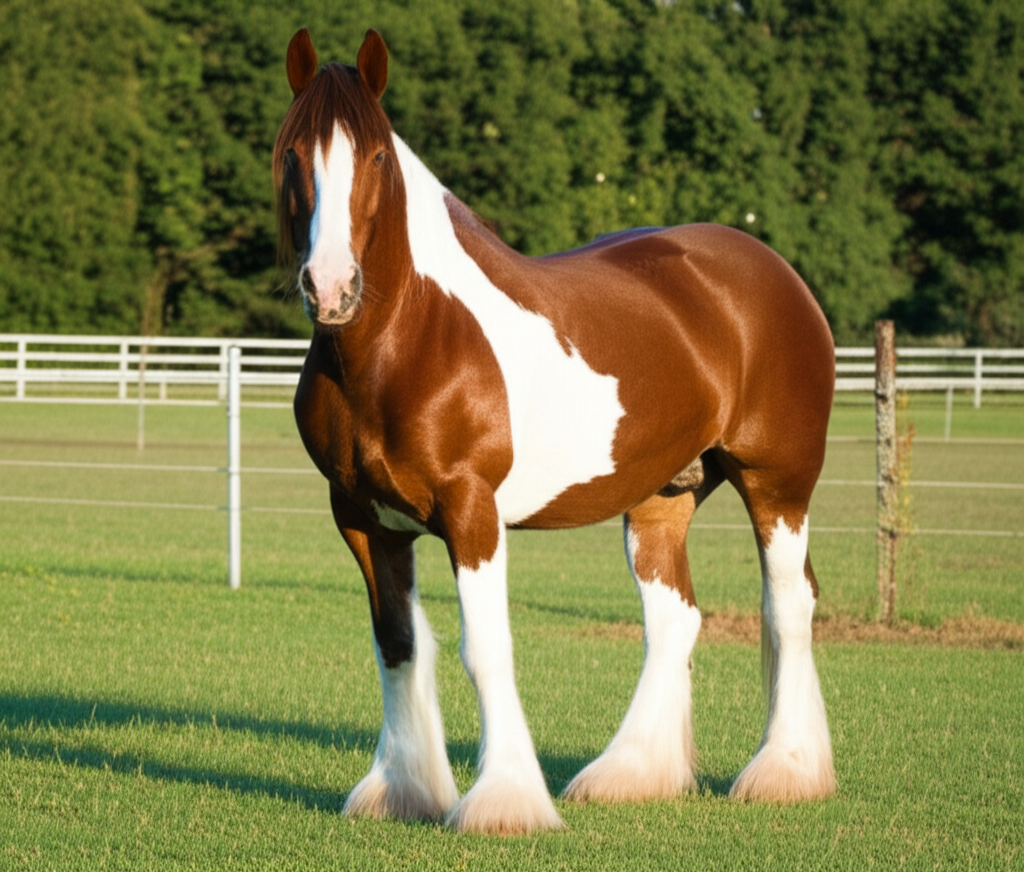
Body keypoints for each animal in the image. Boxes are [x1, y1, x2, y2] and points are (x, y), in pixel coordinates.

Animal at [273, 28, 837, 835]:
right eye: (291, 154)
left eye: (377, 157)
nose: (330, 288)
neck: (414, 338)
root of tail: (773, 272)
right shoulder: (362, 519)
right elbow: (398, 645)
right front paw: (403, 790)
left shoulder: (471, 514)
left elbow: (486, 649)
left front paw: (503, 802)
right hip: (662, 495)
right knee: (674, 618)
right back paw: (630, 773)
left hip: (778, 484)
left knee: (789, 606)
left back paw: (785, 771)